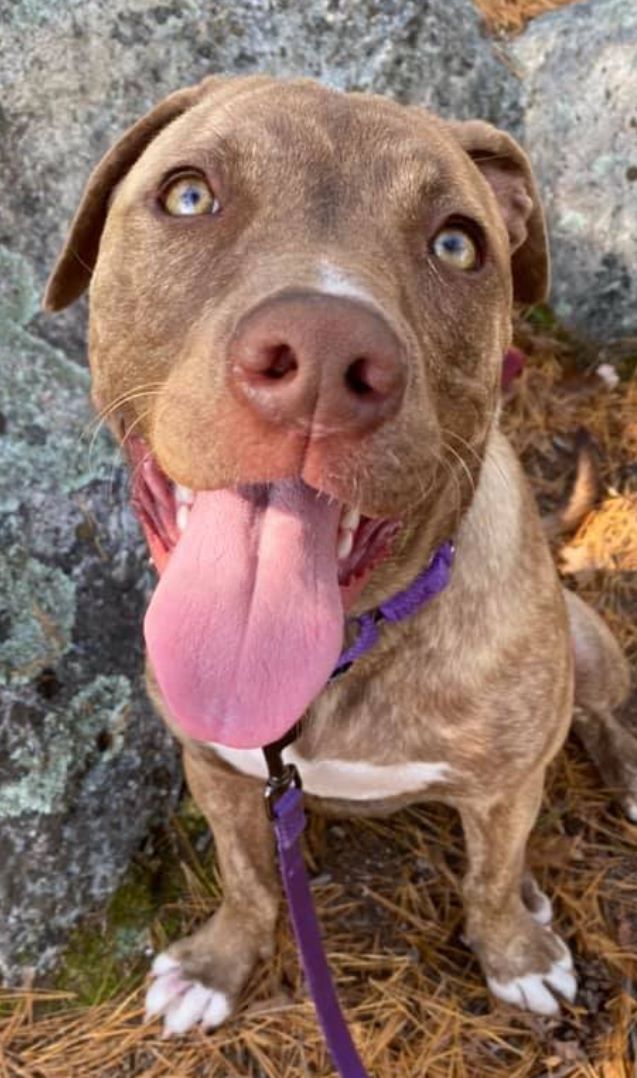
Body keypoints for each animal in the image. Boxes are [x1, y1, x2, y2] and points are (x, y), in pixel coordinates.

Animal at [45, 75, 634, 1036]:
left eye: (456, 244)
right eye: (189, 195)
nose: (324, 353)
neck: (338, 660)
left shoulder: (506, 786)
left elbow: (492, 875)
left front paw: (514, 951)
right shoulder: (217, 772)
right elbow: (249, 880)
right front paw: (216, 964)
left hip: (585, 639)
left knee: (605, 715)